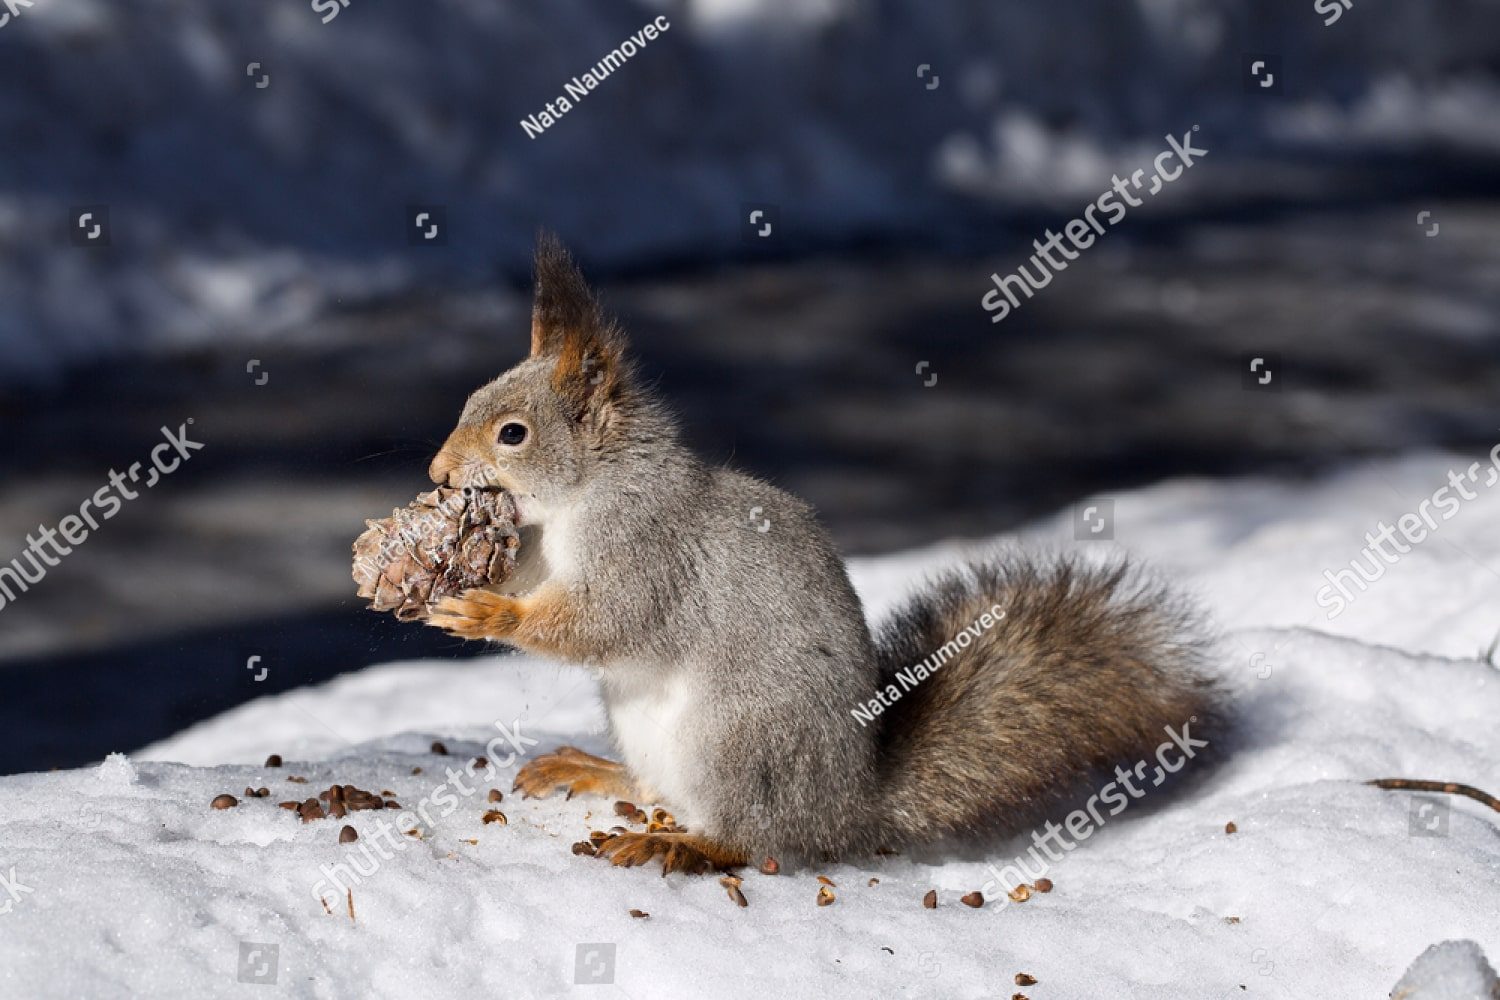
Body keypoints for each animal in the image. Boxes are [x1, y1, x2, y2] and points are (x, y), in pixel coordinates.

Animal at [424, 233, 1224, 874]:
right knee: (657, 790)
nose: (436, 474)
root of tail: (850, 809)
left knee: (753, 840)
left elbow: (603, 622)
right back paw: (592, 770)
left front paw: (488, 613)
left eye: (513, 434)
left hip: (736, 741)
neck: (585, 495)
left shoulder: (647, 548)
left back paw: (678, 843)